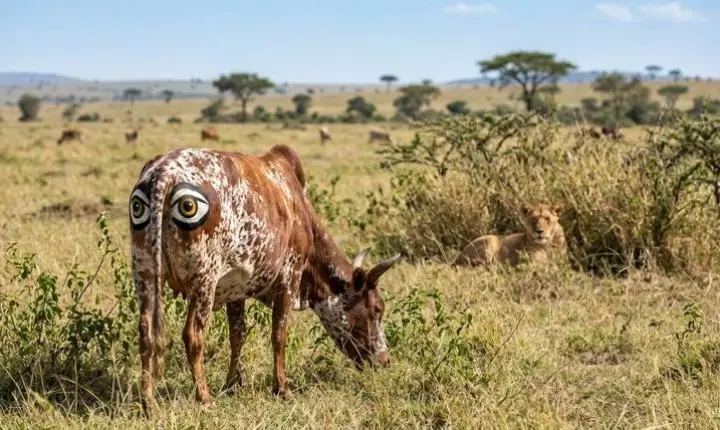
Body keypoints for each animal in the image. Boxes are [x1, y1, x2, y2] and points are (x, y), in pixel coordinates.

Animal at [129, 145, 400, 417]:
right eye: (377, 309)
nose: (384, 360)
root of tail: (164, 173)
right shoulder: (289, 277)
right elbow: (278, 336)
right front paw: (282, 389)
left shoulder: (234, 289)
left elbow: (237, 336)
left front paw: (233, 384)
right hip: (203, 279)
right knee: (193, 335)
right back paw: (204, 399)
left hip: (145, 273)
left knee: (145, 332)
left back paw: (149, 403)